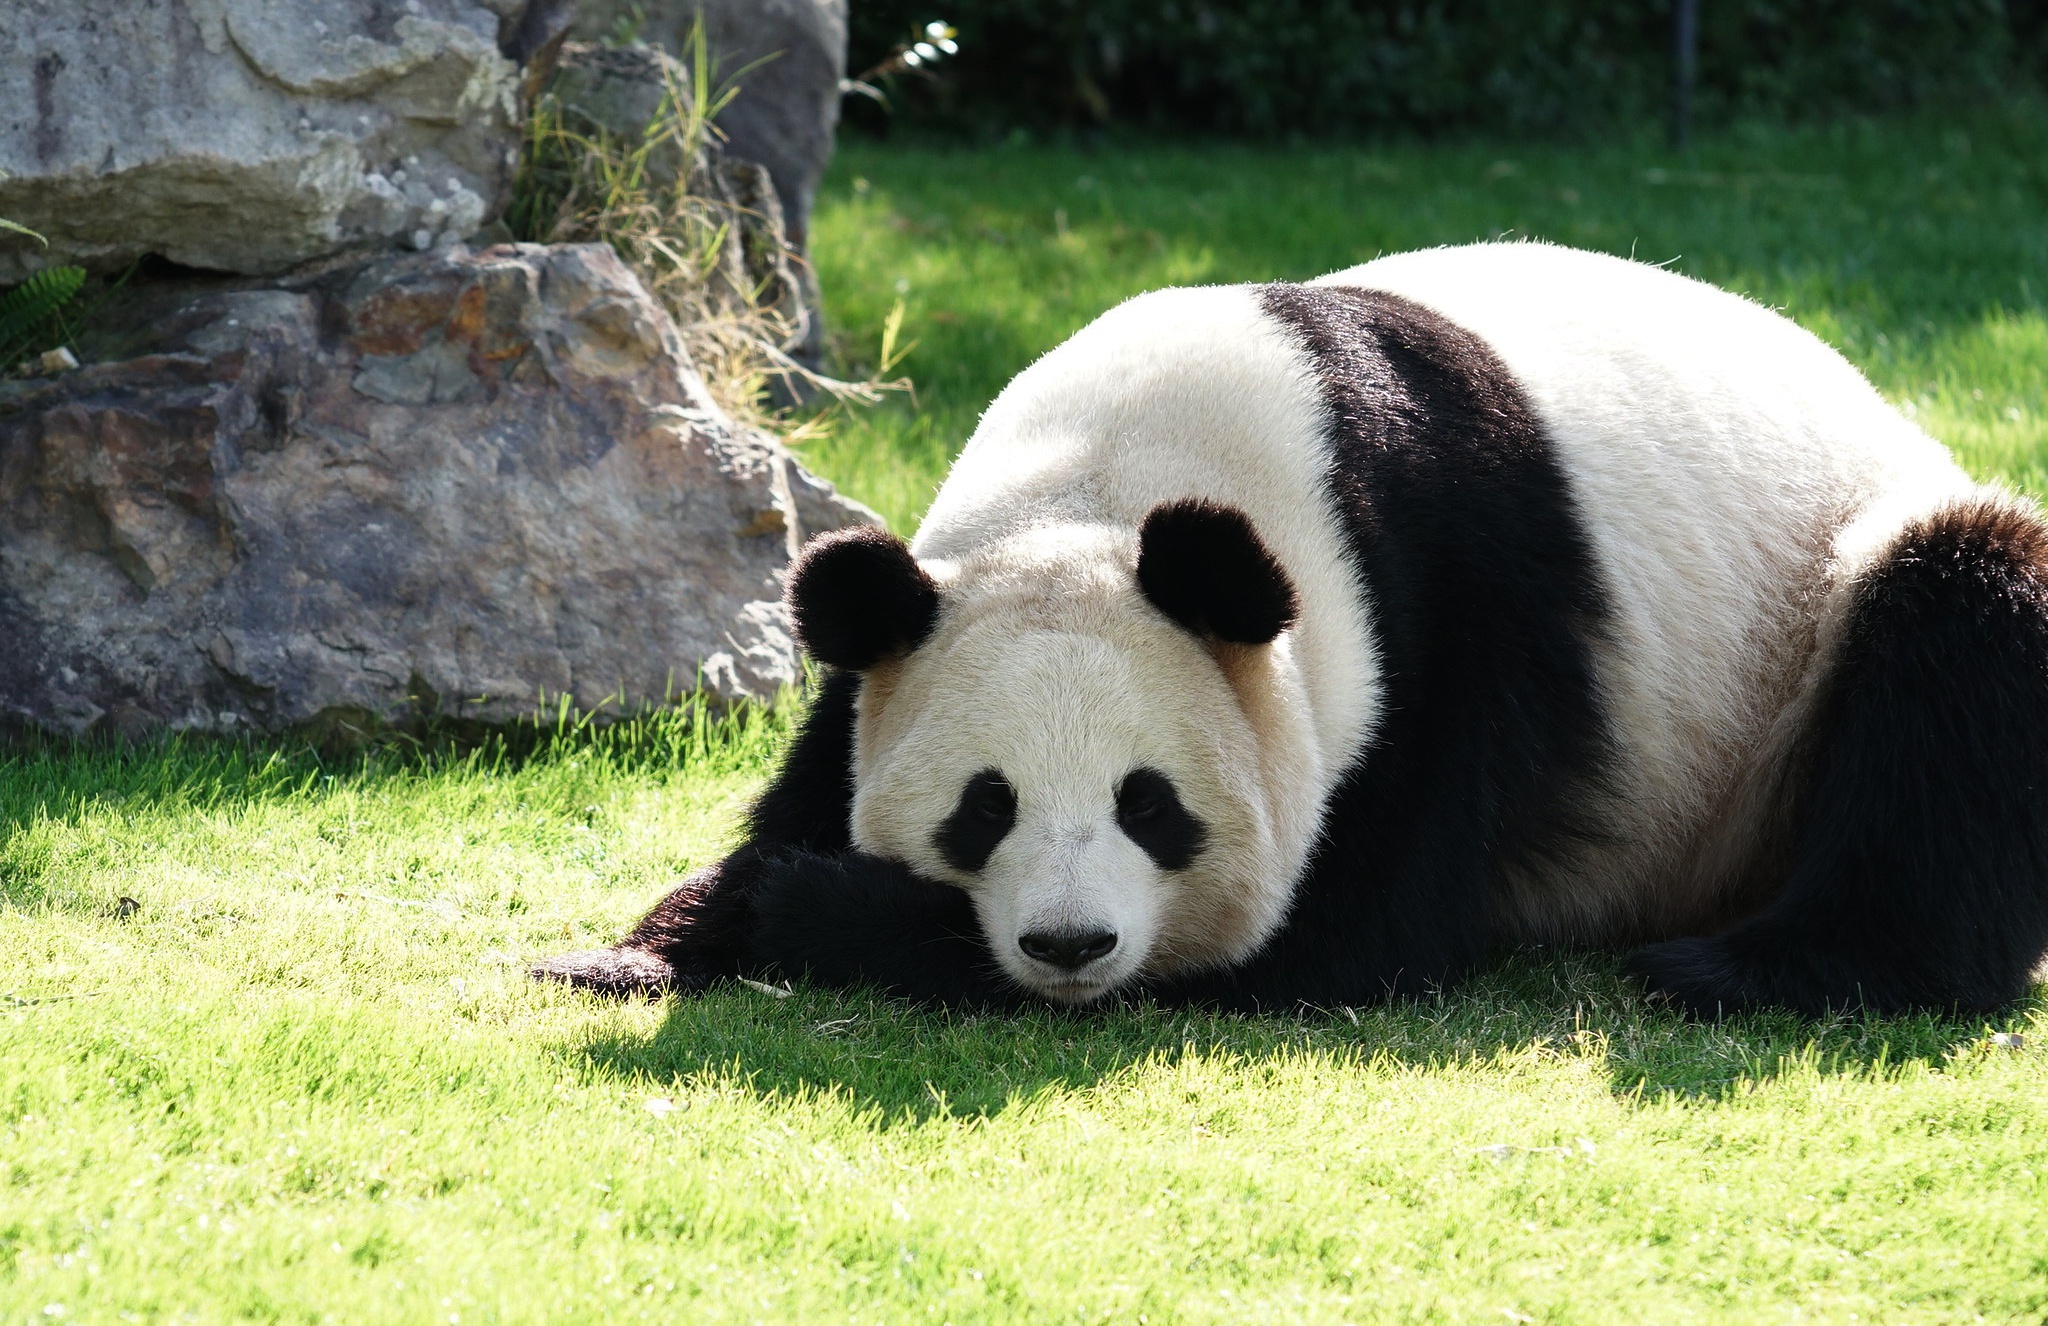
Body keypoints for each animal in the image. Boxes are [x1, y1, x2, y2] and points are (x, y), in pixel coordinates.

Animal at [532, 243, 2048, 1016]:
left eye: (1151, 806)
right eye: (982, 806)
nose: (1067, 947)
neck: (1117, 477)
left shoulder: (1455, 612)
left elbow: (1346, 927)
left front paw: (826, 913)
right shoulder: (918, 597)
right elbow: (817, 757)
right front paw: (641, 943)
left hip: (1824, 616)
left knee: (1959, 636)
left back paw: (1762, 966)